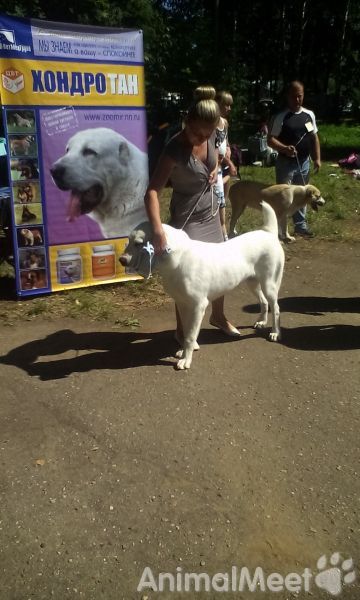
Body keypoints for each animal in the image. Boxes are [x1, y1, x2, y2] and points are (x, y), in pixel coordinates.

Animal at [120, 204, 284, 368]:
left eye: (138, 243)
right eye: (128, 241)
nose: (121, 260)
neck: (177, 259)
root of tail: (268, 232)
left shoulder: (198, 306)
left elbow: (190, 336)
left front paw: (186, 359)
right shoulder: (182, 304)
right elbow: (186, 332)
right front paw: (184, 351)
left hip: (269, 285)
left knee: (276, 308)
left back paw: (275, 332)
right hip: (253, 283)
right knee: (264, 302)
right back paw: (262, 322)